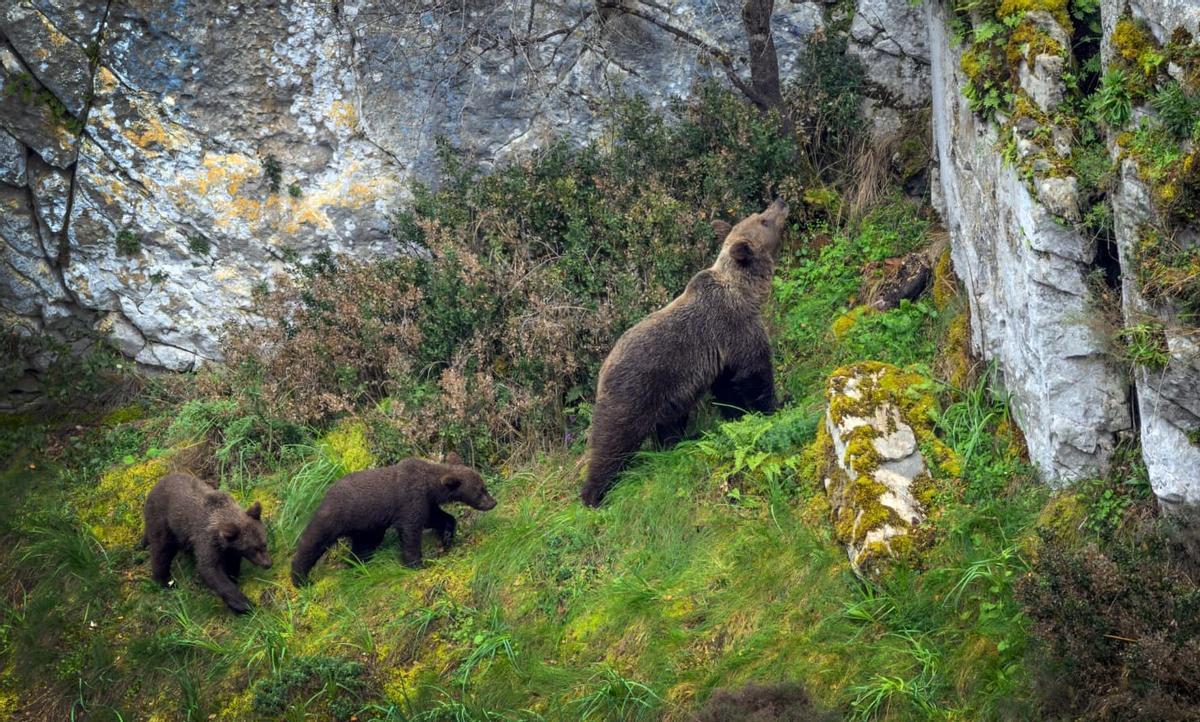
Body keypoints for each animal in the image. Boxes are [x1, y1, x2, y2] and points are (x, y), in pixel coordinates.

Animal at [141, 472, 273, 614]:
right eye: (253, 549)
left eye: (264, 543)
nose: (268, 563)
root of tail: (154, 486)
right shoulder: (206, 540)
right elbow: (210, 569)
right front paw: (243, 604)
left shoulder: (229, 549)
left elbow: (231, 563)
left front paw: (233, 577)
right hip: (162, 521)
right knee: (161, 550)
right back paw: (165, 581)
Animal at [290, 452, 497, 586]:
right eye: (480, 490)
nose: (493, 502)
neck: (430, 485)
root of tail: (326, 493)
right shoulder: (409, 500)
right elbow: (410, 532)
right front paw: (416, 564)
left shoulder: (425, 502)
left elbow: (436, 518)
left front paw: (447, 537)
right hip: (335, 515)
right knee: (313, 541)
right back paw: (300, 578)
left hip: (367, 526)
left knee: (364, 545)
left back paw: (357, 565)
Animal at [580, 199, 789, 507]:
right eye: (763, 220)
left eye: (758, 214)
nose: (780, 202)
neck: (746, 293)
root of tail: (601, 371)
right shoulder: (736, 328)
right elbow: (755, 372)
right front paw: (776, 403)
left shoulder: (721, 355)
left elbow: (728, 389)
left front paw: (736, 416)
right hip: (635, 391)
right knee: (612, 441)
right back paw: (594, 496)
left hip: (668, 398)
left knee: (667, 427)